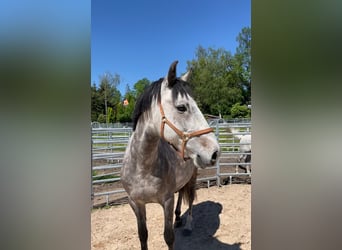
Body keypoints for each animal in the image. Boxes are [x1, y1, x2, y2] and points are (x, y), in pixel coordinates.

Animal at [121, 61, 220, 250]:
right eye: (182, 107)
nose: (215, 152)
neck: (143, 167)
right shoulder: (136, 203)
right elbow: (142, 235)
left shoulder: (166, 201)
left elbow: (169, 237)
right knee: (181, 193)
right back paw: (179, 218)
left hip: (193, 177)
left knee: (190, 199)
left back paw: (187, 225)